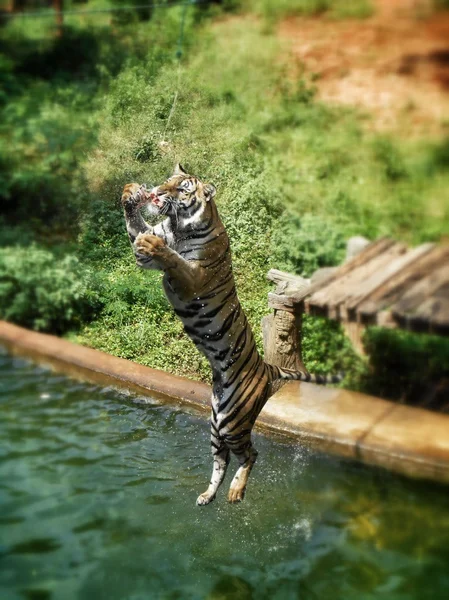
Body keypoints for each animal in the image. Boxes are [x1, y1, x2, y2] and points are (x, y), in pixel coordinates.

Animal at [120, 165, 340, 506]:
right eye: (168, 180)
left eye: (182, 188)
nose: (155, 191)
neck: (179, 227)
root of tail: (268, 368)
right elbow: (138, 230)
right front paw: (130, 193)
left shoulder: (194, 278)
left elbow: (175, 259)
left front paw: (159, 246)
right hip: (216, 423)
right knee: (220, 461)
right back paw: (208, 496)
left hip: (233, 422)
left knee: (251, 454)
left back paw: (236, 492)